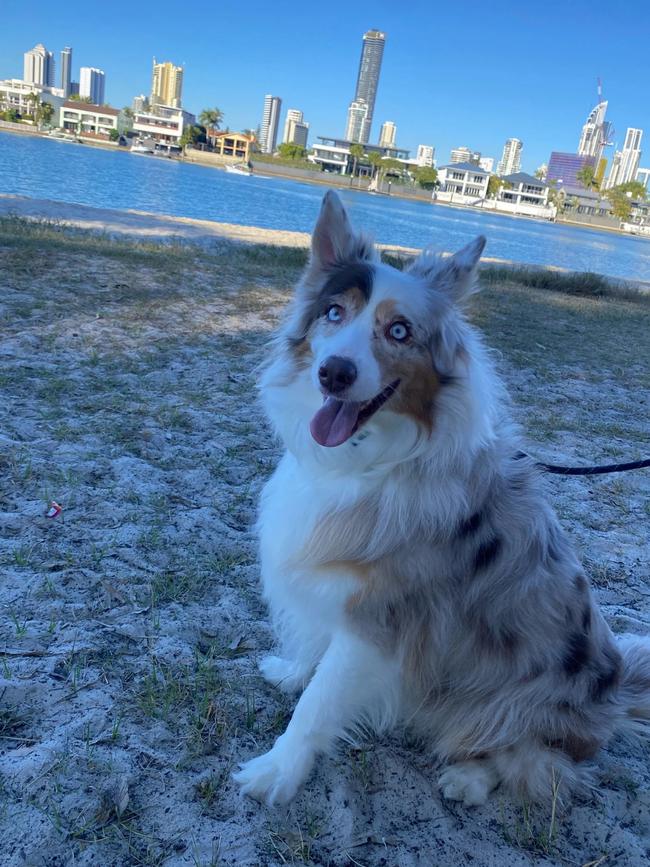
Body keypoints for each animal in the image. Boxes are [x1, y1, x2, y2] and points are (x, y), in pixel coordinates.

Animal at [233, 188, 648, 808]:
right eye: (334, 313)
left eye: (400, 332)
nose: (334, 373)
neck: (368, 462)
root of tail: (617, 695)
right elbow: (313, 653)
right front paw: (292, 670)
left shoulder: (381, 622)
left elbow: (318, 706)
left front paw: (278, 771)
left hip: (517, 702)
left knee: (538, 765)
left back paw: (468, 778)